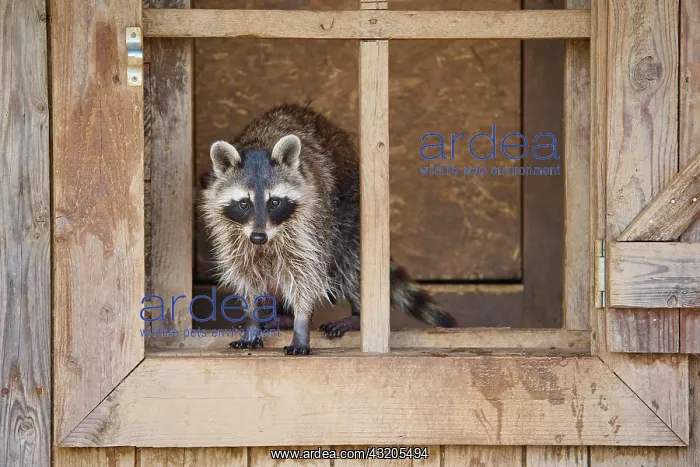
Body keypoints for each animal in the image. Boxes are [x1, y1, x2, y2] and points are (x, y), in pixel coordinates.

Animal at [199, 103, 456, 355]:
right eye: (244, 203)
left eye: (275, 202)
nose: (259, 237)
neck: (259, 145)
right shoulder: (230, 232)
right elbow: (244, 272)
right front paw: (252, 318)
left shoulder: (310, 223)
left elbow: (306, 273)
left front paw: (301, 322)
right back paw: (281, 315)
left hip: (347, 215)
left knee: (349, 265)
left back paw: (356, 315)